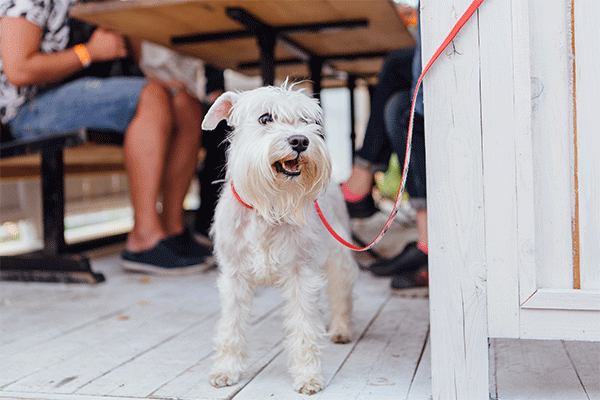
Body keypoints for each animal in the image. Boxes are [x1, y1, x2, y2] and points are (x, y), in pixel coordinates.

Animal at [204, 83, 358, 396]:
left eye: (306, 120)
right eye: (265, 118)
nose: (300, 140)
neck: (269, 205)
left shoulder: (302, 275)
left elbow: (304, 328)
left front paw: (308, 377)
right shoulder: (234, 276)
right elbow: (231, 327)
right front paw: (225, 370)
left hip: (339, 258)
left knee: (341, 295)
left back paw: (340, 329)